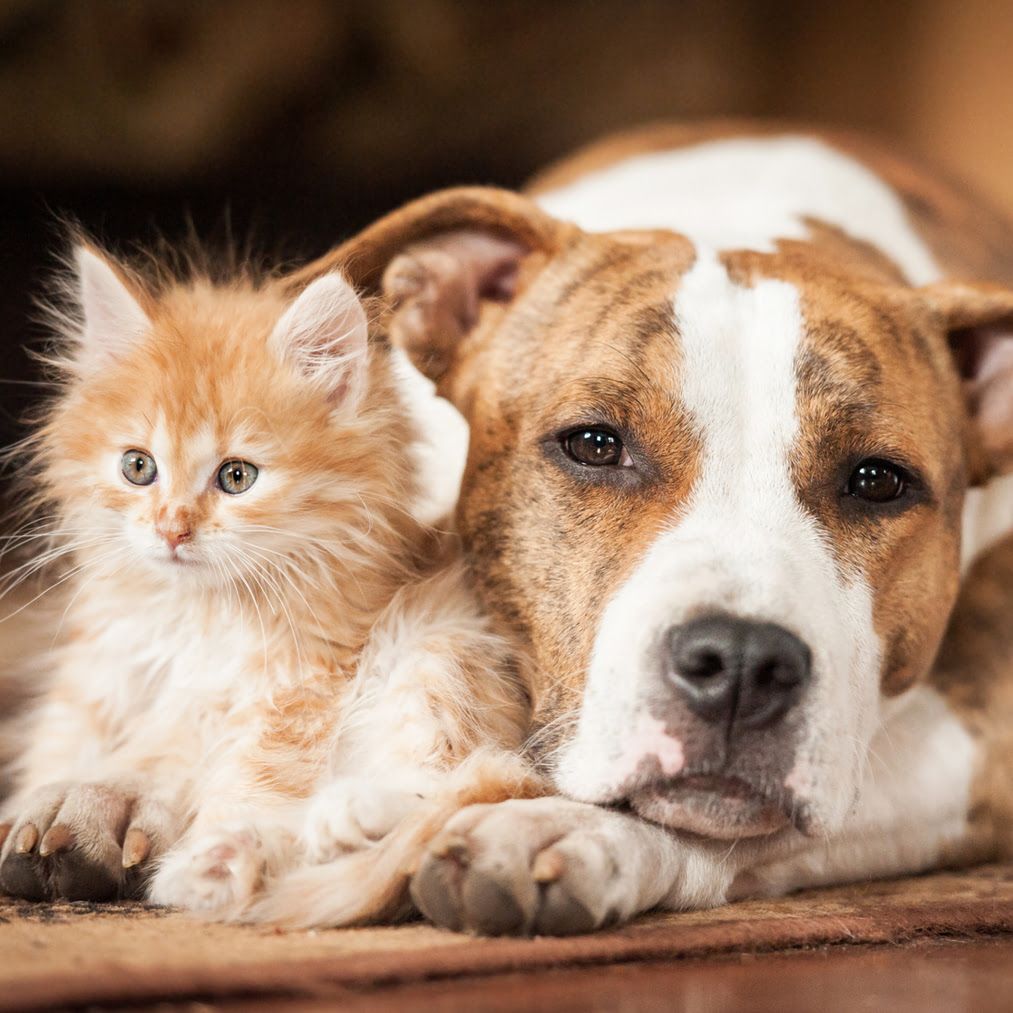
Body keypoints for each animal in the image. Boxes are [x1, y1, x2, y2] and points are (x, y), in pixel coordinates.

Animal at [0, 243, 534, 919]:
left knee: (462, 781)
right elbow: (69, 752)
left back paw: (296, 833)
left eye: (236, 477)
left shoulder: (303, 683)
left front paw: (210, 857)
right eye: (138, 467)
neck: (196, 617)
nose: (172, 530)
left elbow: (255, 770)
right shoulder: (99, 677)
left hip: (443, 650)